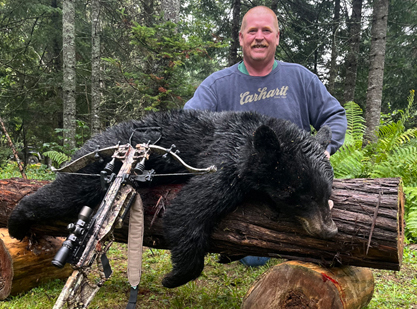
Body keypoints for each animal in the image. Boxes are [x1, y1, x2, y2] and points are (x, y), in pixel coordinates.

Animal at [8, 109, 336, 288]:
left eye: (327, 192)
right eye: (298, 195)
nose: (329, 230)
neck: (249, 140)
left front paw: (226, 255)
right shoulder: (221, 161)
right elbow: (187, 210)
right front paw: (175, 276)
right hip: (96, 164)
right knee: (67, 191)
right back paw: (17, 220)